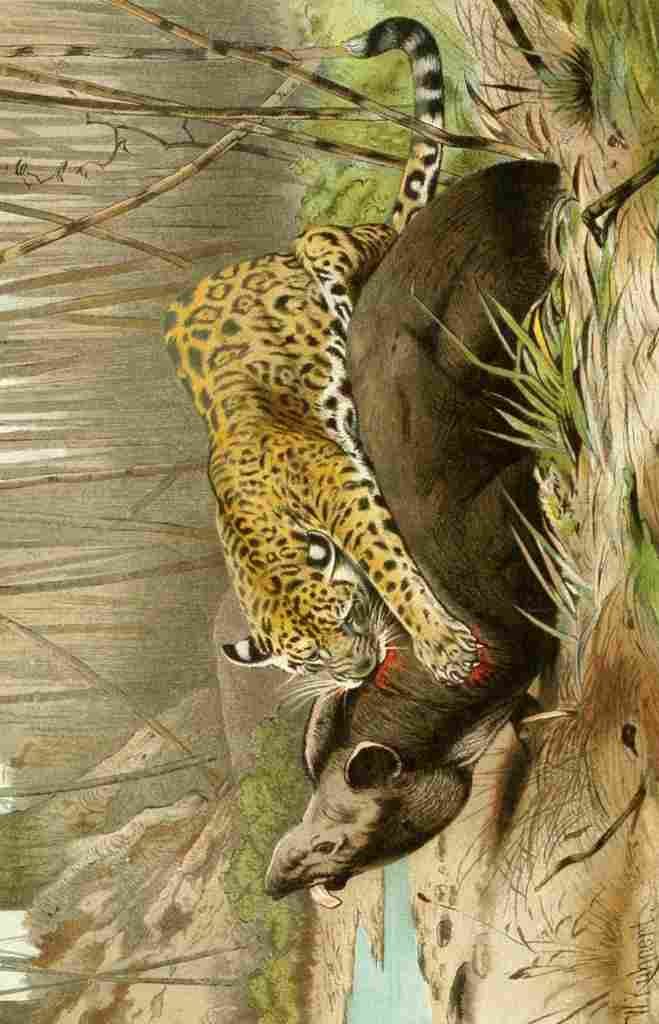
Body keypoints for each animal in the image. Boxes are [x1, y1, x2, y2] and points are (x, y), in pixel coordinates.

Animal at [163, 17, 483, 689]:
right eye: (306, 656)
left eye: (344, 615)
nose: (358, 671)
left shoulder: (344, 492)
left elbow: (389, 567)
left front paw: (441, 644)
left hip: (324, 244)